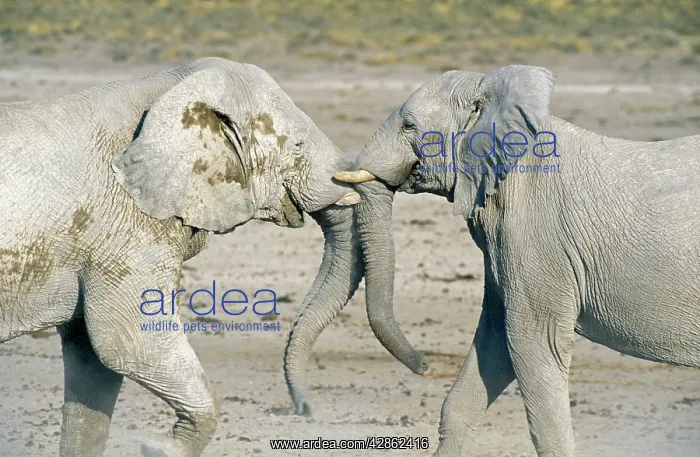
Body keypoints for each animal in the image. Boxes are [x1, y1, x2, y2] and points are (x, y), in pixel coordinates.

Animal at [0, 57, 365, 457]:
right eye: (297, 147)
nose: (305, 408)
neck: (166, 86)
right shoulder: (124, 230)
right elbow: (128, 342)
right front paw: (161, 449)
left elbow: (93, 362)